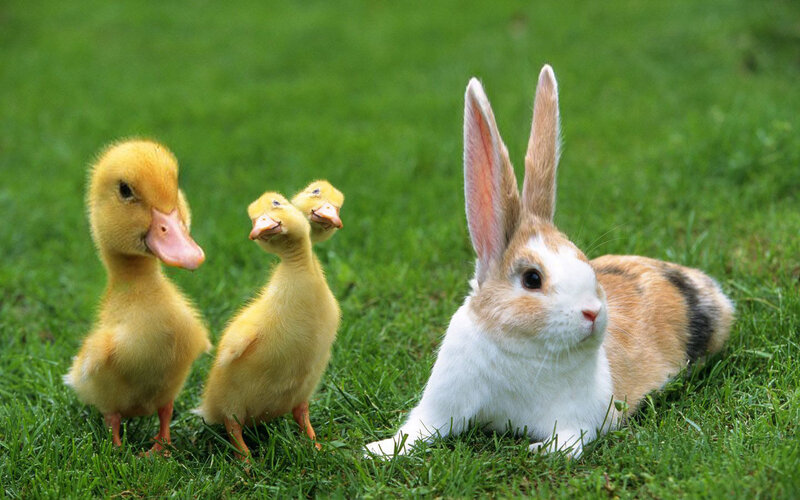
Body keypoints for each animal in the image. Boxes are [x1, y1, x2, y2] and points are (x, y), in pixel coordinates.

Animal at [365, 65, 734, 459]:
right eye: (532, 279)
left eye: (584, 261)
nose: (593, 312)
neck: (521, 350)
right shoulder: (442, 404)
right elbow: (419, 429)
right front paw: (378, 450)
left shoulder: (582, 419)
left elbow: (568, 442)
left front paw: (539, 450)